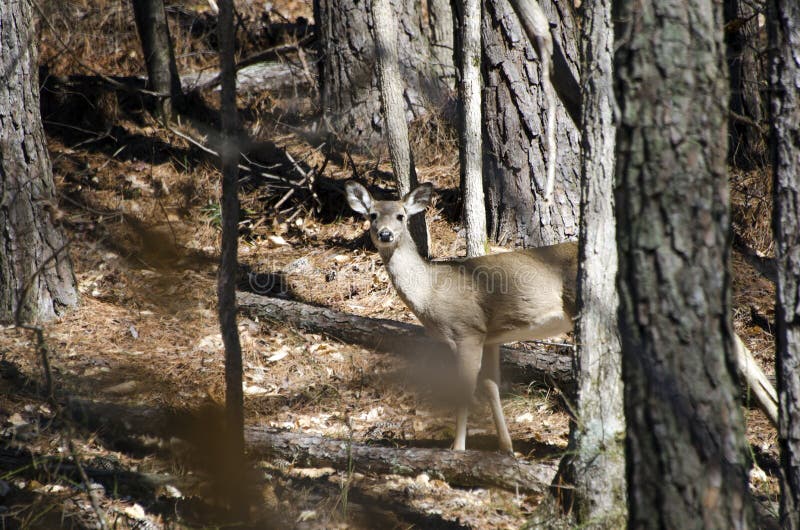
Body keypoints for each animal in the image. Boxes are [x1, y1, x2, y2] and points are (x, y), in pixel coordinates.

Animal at [346, 180, 780, 450]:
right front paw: (506, 449)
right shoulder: (492, 335)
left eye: (401, 216)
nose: (385, 234)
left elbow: (466, 389)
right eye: (372, 215)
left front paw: (456, 450)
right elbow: (492, 386)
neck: (432, 290)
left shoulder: (467, 329)